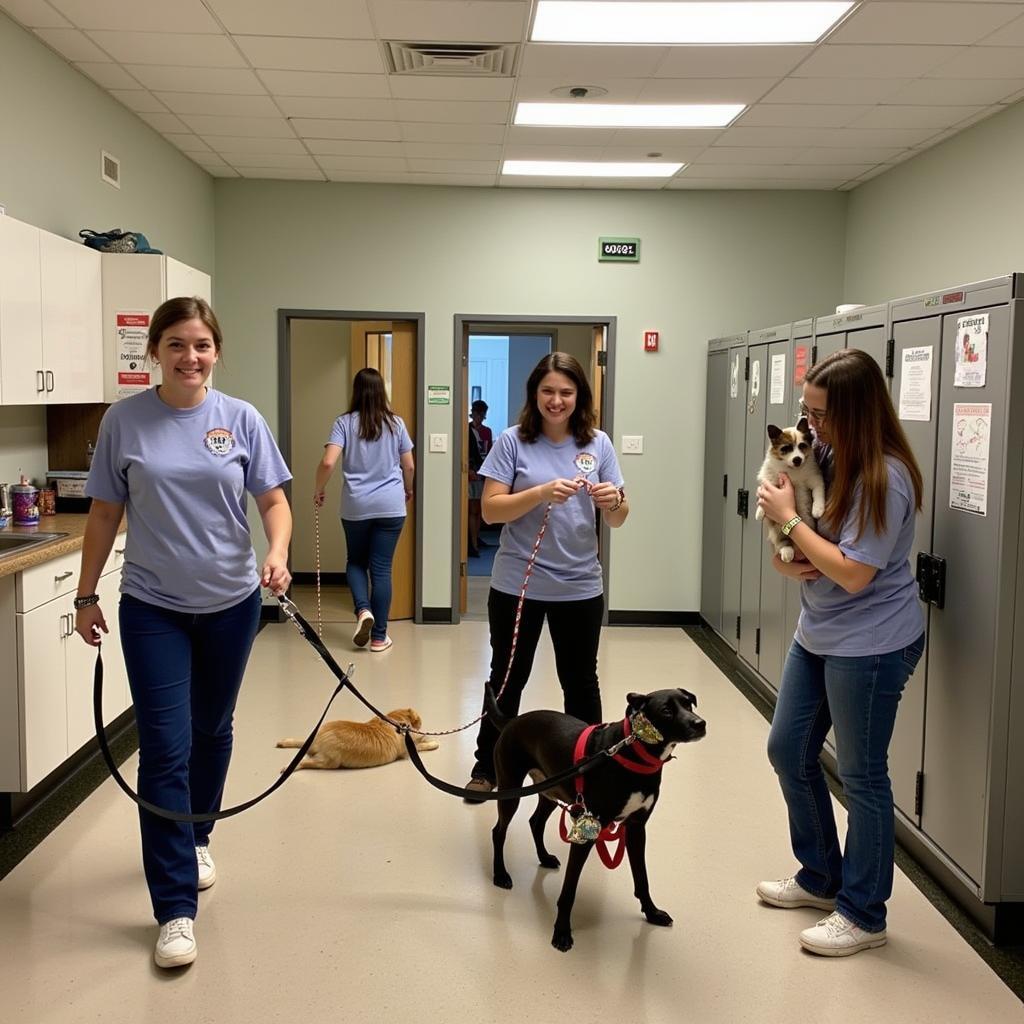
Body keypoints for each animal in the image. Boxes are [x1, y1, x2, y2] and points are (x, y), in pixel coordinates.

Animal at [276, 708, 440, 770]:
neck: (395, 721)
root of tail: (317, 741)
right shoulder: (406, 750)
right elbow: (420, 744)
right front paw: (432, 741)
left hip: (313, 740)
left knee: (300, 742)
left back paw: (284, 742)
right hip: (329, 762)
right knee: (305, 762)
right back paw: (289, 767)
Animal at [487, 688, 704, 950]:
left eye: (688, 704)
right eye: (666, 710)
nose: (700, 723)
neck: (632, 751)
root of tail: (512, 720)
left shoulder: (636, 828)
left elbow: (642, 878)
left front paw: (652, 913)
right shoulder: (587, 831)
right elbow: (569, 890)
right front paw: (561, 932)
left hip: (552, 789)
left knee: (535, 822)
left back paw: (544, 857)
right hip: (510, 790)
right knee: (499, 831)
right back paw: (500, 874)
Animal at [757, 413, 827, 565]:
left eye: (802, 446)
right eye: (786, 448)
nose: (797, 459)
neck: (792, 470)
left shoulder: (815, 480)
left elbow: (818, 494)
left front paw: (818, 509)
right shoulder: (770, 480)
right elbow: (763, 495)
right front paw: (760, 511)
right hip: (778, 530)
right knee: (783, 542)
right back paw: (787, 551)